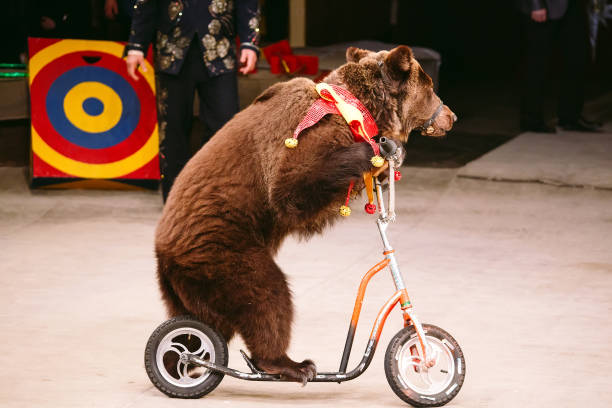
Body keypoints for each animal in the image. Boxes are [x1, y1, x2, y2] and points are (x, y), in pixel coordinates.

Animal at [155, 46, 456, 384]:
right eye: (430, 87)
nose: (451, 116)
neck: (355, 108)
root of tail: (163, 253)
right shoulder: (300, 133)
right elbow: (290, 190)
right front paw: (380, 149)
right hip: (220, 248)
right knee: (265, 294)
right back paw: (290, 364)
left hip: (185, 286)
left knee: (197, 324)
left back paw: (182, 360)